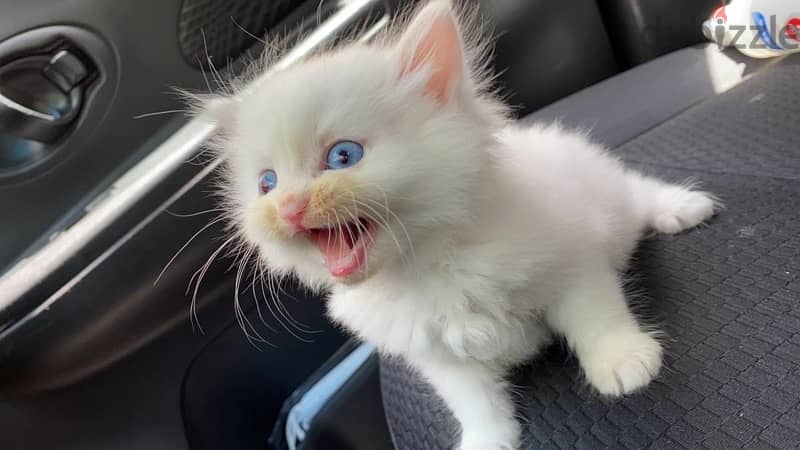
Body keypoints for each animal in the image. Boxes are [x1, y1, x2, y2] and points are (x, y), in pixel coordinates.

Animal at [203, 1, 716, 448]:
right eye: (266, 184)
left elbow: (596, 315)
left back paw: (680, 206)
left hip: (610, 195)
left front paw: (623, 360)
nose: (287, 207)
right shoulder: (435, 353)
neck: (426, 265)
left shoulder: (573, 259)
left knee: (636, 189)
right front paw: (488, 439)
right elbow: (473, 401)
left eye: (344, 156)